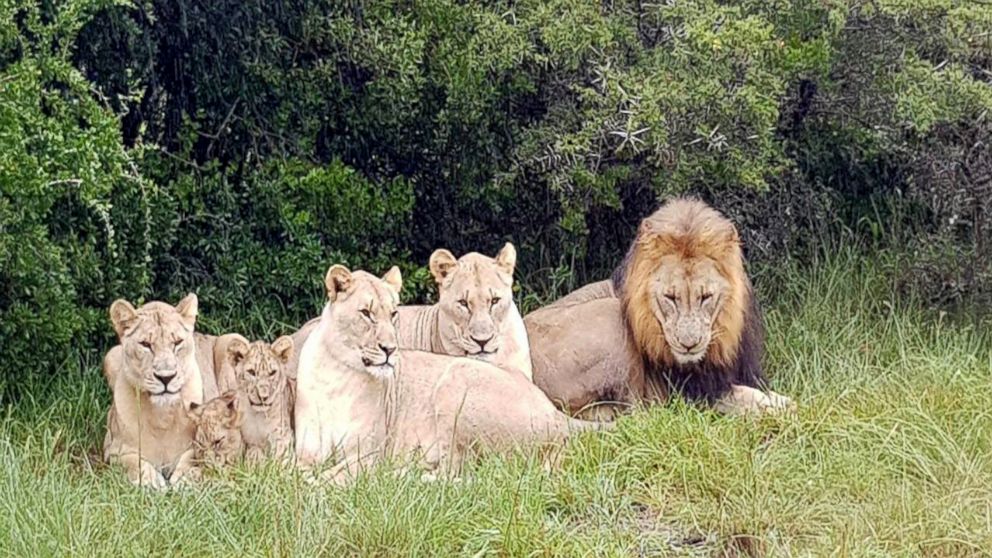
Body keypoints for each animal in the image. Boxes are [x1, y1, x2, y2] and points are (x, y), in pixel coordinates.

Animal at [102, 294, 205, 489]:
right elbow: (134, 462)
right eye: (145, 344)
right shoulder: (113, 450)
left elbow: (193, 458)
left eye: (177, 342)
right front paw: (151, 481)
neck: (162, 415)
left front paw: (184, 479)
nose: (166, 377)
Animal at [294, 265, 606, 481]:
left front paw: (319, 485)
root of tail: (555, 413)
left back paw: (398, 477)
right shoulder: (305, 452)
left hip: (455, 381)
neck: (337, 374)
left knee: (458, 473)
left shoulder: (368, 453)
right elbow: (291, 475)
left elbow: (331, 478)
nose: (390, 349)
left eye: (393, 314)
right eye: (366, 313)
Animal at [525, 198, 794, 417]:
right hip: (611, 315)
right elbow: (748, 398)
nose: (689, 345)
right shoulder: (693, 392)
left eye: (706, 297)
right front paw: (783, 408)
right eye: (670, 297)